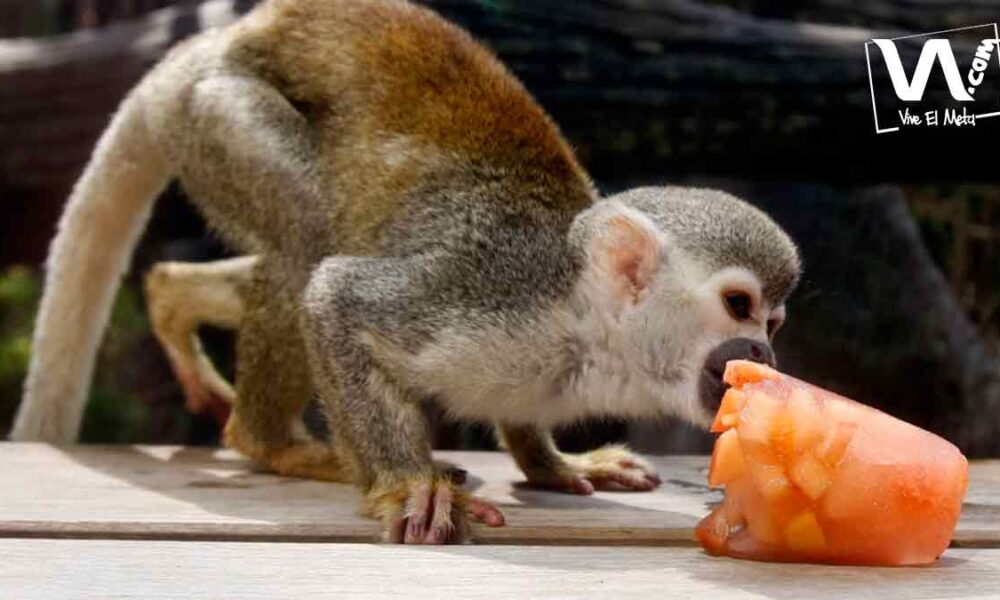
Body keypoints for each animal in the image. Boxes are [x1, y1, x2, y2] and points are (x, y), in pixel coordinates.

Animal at [11, 0, 800, 544]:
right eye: (739, 305)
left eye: (775, 320)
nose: (764, 352)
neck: (586, 329)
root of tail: (200, 48)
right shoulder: (489, 297)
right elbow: (334, 296)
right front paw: (404, 484)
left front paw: (552, 464)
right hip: (219, 115)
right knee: (307, 236)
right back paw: (274, 443)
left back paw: (173, 295)